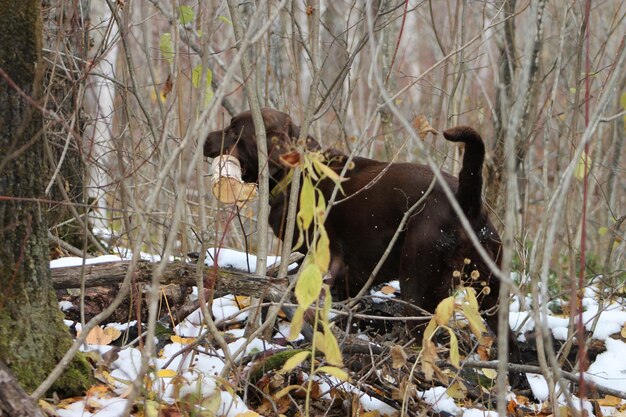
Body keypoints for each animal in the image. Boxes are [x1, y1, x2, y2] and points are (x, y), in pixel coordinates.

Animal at [204, 106, 520, 376]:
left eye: (233, 130)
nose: (205, 138)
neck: (299, 173)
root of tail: (466, 199)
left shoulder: (327, 262)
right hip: (490, 290)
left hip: (418, 285)